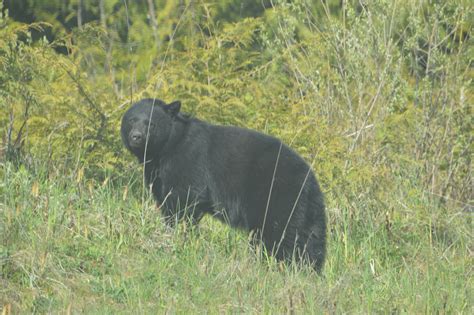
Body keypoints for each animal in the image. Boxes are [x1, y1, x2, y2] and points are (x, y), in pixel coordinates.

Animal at [121, 98, 326, 272]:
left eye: (150, 123)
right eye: (132, 120)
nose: (136, 137)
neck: (167, 148)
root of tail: (310, 179)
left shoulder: (188, 162)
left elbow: (183, 202)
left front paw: (180, 236)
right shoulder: (158, 173)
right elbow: (165, 199)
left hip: (277, 197)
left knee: (278, 234)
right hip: (308, 210)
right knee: (311, 239)